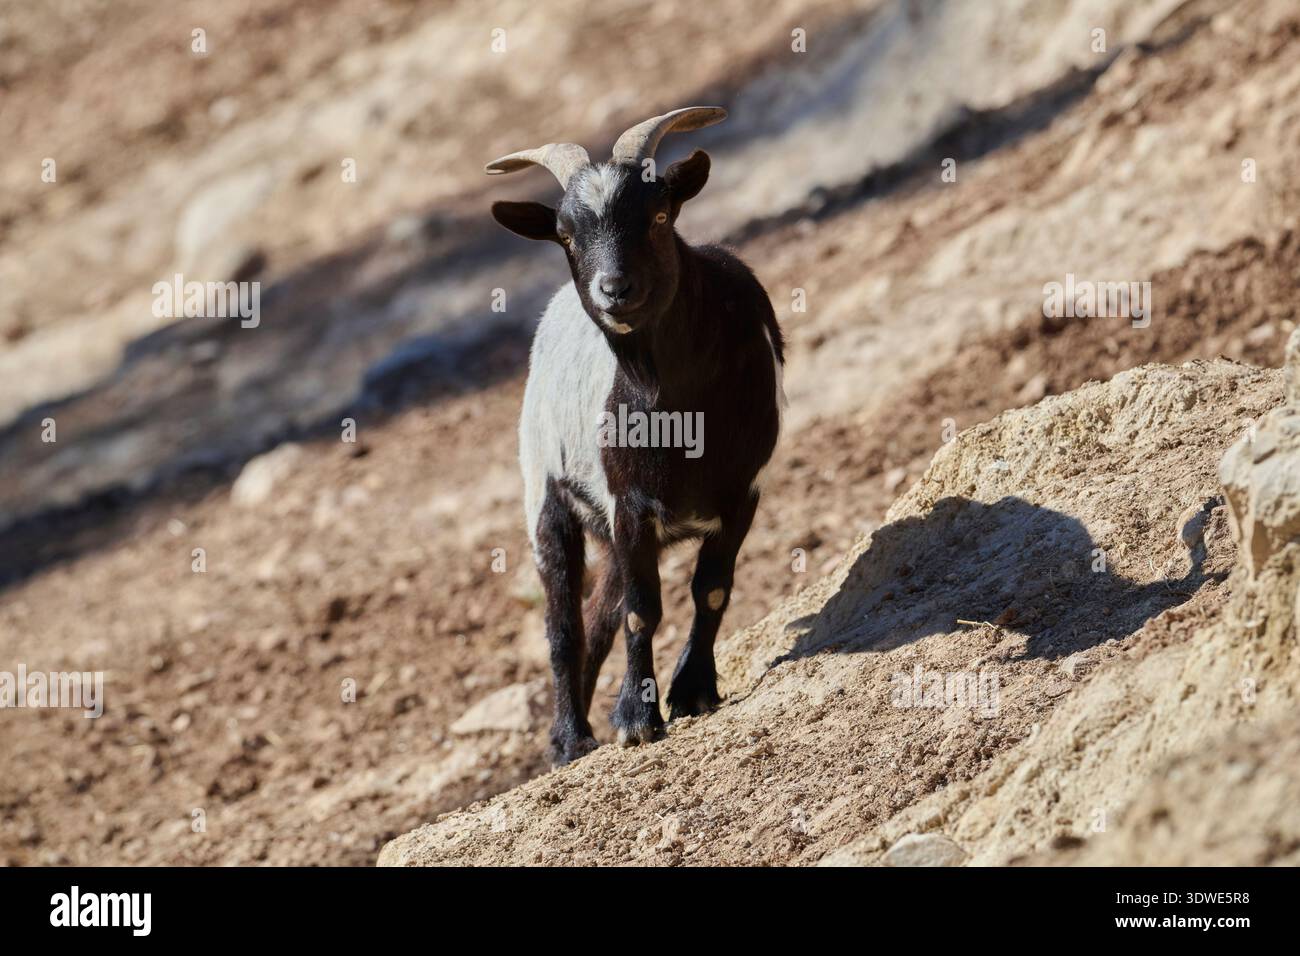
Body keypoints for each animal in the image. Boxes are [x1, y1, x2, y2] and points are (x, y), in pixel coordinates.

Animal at [486, 107, 786, 764]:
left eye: (658, 215)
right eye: (566, 236)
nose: (614, 289)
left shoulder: (744, 491)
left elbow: (711, 590)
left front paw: (693, 689)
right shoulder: (628, 502)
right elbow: (641, 612)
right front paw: (636, 719)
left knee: (600, 615)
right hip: (545, 492)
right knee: (565, 624)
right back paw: (570, 739)